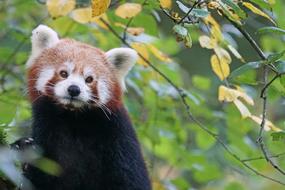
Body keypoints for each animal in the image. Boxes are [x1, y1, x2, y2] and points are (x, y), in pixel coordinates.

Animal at [14, 24, 151, 190]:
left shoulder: (119, 137)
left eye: (89, 79)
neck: (74, 119)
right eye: (63, 73)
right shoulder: (48, 129)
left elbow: (131, 179)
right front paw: (23, 148)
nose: (74, 89)